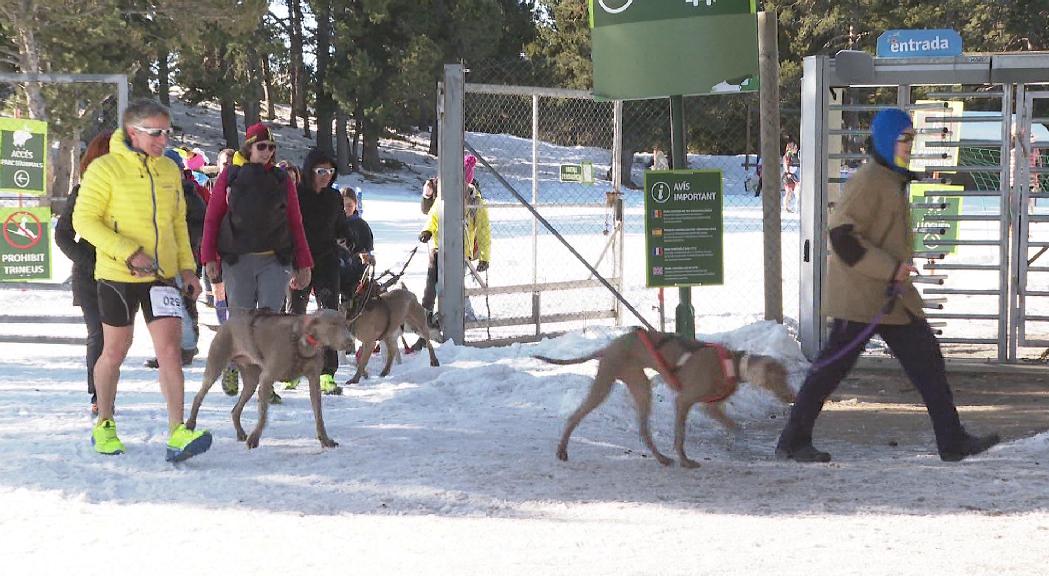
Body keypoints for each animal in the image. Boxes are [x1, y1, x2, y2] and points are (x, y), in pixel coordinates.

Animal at [186, 310, 354, 449]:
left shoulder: (314, 380)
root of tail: (226, 322)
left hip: (251, 381)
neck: (301, 343)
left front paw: (325, 440)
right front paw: (255, 438)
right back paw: (190, 424)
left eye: (346, 325)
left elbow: (319, 415)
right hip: (215, 366)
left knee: (235, 410)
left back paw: (240, 433)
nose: (350, 342)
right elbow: (263, 414)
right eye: (333, 324)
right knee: (198, 396)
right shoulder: (267, 378)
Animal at [537, 327, 788, 467]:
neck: (732, 364)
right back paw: (561, 450)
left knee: (644, 430)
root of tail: (607, 347)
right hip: (605, 384)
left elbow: (733, 425)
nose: (792, 396)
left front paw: (735, 440)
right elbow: (680, 436)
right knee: (574, 416)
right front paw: (685, 461)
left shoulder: (710, 407)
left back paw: (661, 458)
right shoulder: (684, 400)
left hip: (641, 386)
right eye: (781, 377)